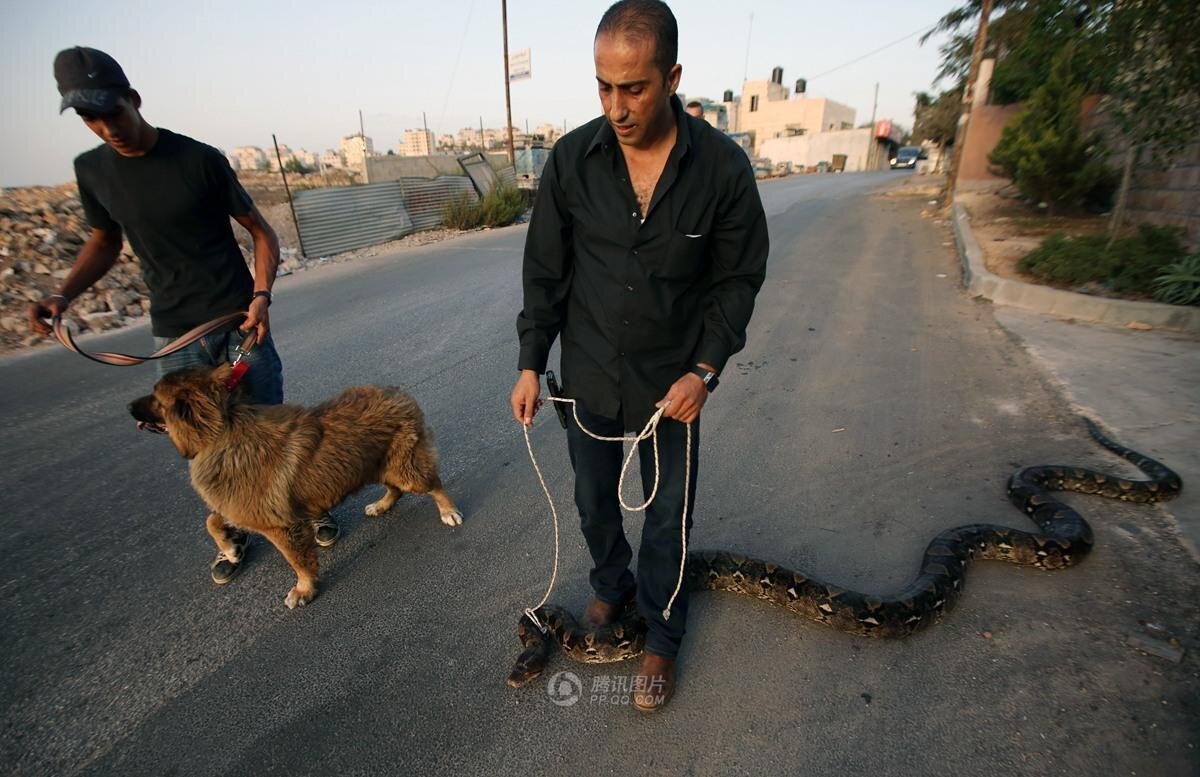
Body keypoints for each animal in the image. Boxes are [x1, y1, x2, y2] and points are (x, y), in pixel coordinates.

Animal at [129, 362, 460, 609]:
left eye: (155, 398)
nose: (129, 407)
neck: (220, 431)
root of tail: (396, 392)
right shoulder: (240, 507)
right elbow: (212, 520)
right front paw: (231, 550)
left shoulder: (279, 526)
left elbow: (297, 561)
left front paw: (303, 590)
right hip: (375, 465)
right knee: (396, 489)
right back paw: (381, 505)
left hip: (403, 466)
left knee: (433, 485)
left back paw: (448, 511)